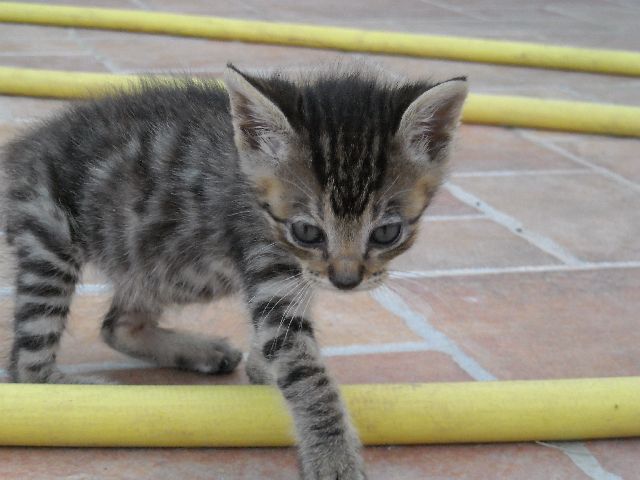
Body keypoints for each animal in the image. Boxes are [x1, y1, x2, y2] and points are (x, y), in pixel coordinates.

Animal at [2, 62, 468, 478]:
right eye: (307, 231)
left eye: (387, 232)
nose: (346, 280)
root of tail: (19, 151)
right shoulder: (269, 258)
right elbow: (304, 369)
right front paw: (332, 455)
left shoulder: (298, 274)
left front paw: (263, 368)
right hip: (49, 237)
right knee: (27, 366)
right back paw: (81, 397)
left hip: (154, 263)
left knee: (118, 325)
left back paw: (193, 350)